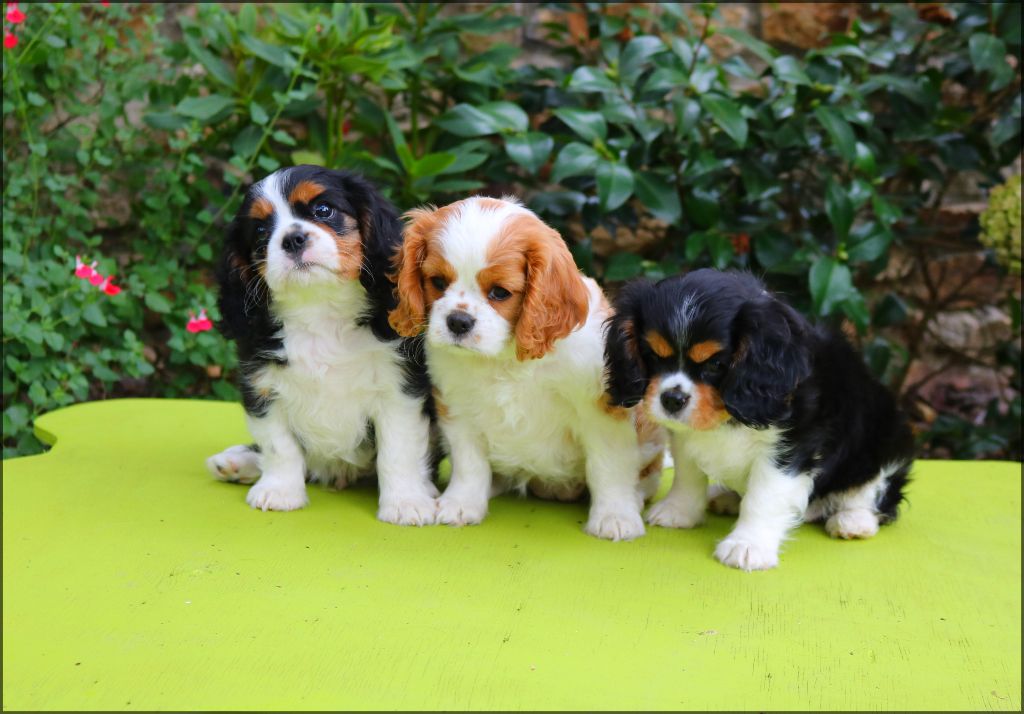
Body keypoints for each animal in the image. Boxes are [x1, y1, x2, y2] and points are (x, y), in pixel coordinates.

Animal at [203, 165, 436, 524]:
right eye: (260, 231)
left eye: (323, 210)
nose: (292, 238)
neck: (319, 308)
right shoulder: (263, 387)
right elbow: (278, 445)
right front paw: (280, 491)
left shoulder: (399, 390)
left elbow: (398, 451)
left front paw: (406, 501)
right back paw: (237, 462)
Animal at [385, 196, 663, 540]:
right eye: (437, 282)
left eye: (500, 292)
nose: (458, 321)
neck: (505, 357)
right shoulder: (458, 408)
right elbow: (469, 462)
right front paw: (461, 503)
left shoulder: (600, 412)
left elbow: (607, 466)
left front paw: (615, 516)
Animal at [602, 266, 917, 569]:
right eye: (652, 355)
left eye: (716, 364)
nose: (671, 399)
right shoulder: (686, 436)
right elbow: (688, 475)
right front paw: (679, 512)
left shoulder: (789, 448)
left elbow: (763, 497)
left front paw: (748, 545)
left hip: (883, 446)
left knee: (876, 494)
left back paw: (853, 520)